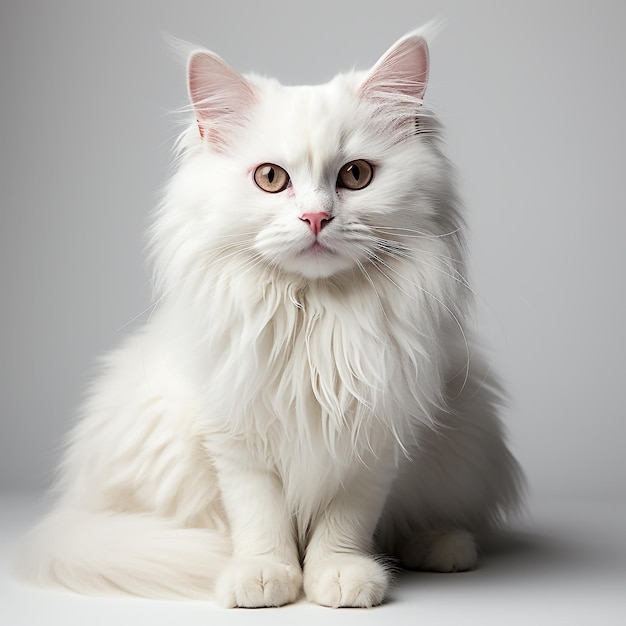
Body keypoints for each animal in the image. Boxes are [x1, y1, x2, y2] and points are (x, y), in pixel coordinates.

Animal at [19, 28, 520, 604]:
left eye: (356, 175)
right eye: (271, 178)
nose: (316, 217)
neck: (316, 316)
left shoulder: (375, 434)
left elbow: (345, 521)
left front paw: (338, 575)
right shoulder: (234, 436)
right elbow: (260, 517)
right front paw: (265, 576)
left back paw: (439, 546)